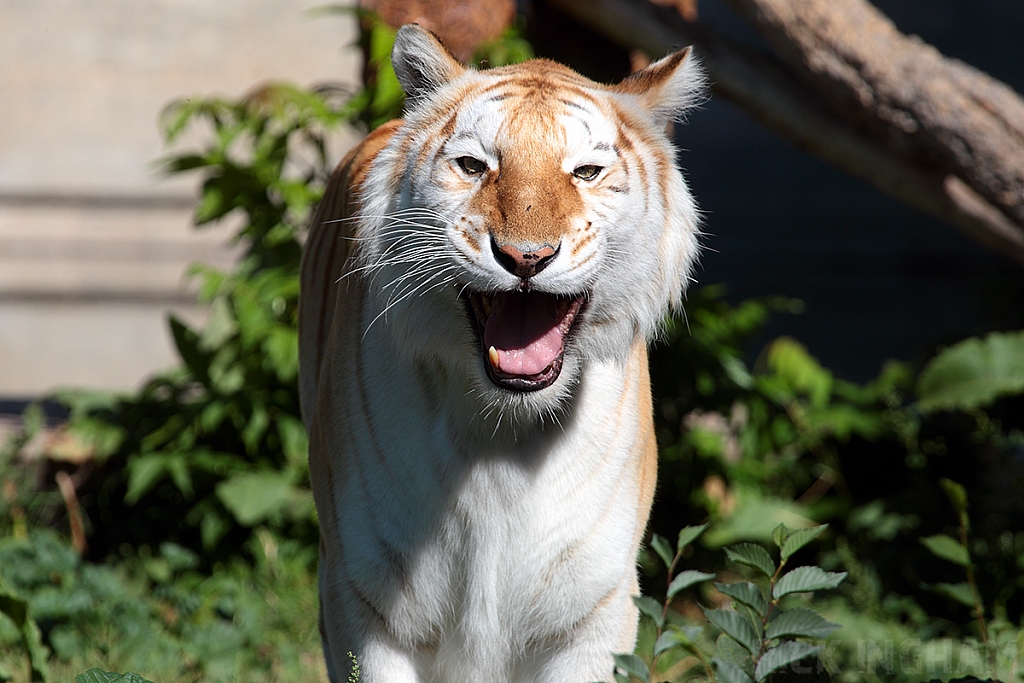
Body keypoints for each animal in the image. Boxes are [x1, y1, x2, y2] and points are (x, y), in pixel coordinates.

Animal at [299, 24, 704, 683]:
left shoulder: (591, 613)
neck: (501, 431)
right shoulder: (364, 602)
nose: (526, 257)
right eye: (473, 165)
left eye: (586, 171)